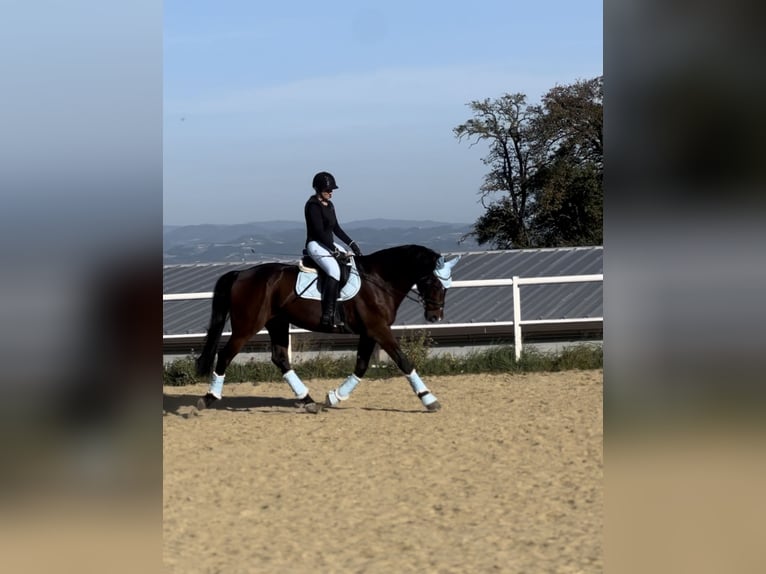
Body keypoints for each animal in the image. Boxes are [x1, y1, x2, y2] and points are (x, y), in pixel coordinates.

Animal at [195, 243, 462, 414]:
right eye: (433, 282)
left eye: (447, 285)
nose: (435, 316)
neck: (380, 280)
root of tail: (241, 273)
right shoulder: (378, 329)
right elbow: (403, 361)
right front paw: (429, 400)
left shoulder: (370, 331)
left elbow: (361, 366)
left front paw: (334, 397)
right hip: (247, 326)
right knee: (225, 355)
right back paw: (208, 399)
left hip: (277, 323)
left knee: (280, 358)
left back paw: (309, 401)